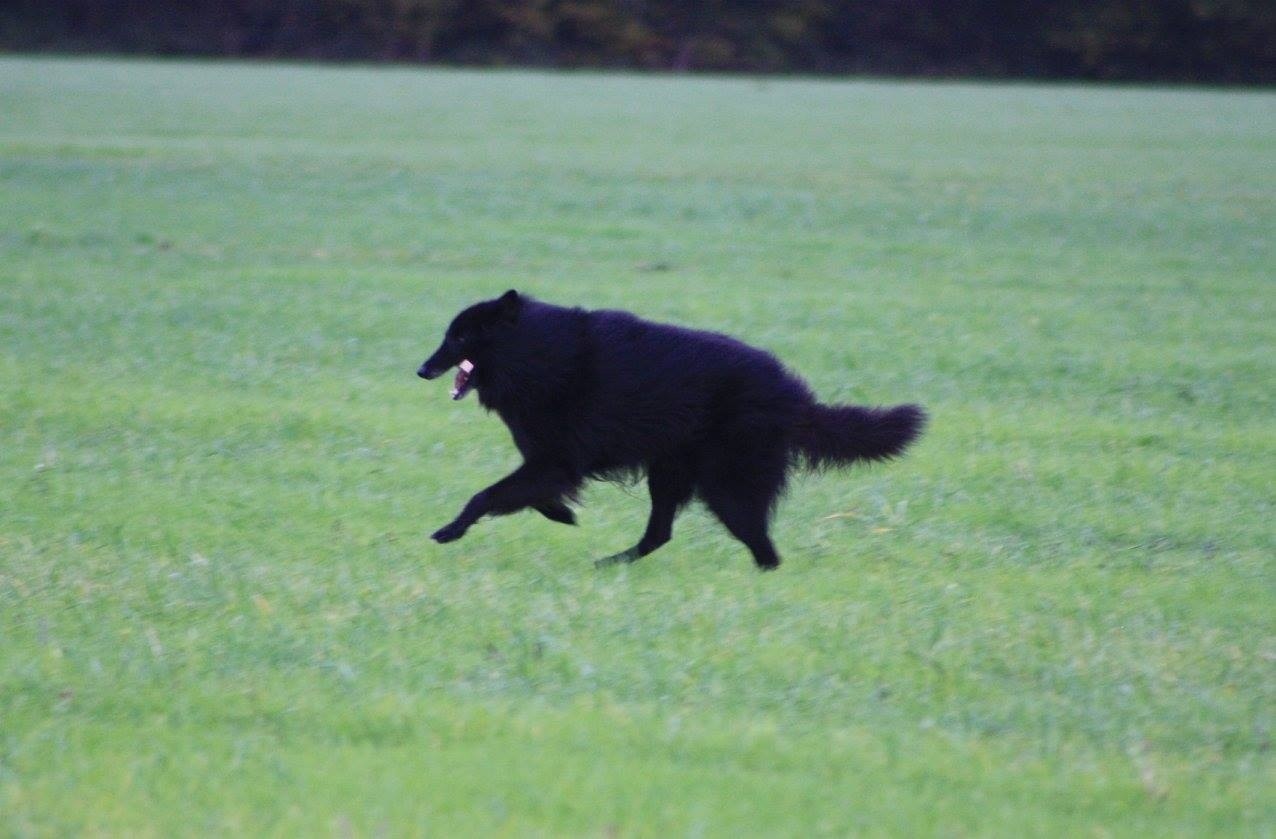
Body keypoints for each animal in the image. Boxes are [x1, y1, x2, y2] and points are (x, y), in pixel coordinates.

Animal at [418, 289, 928, 568]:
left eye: (459, 336)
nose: (422, 370)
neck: (536, 352)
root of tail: (793, 398)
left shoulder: (556, 460)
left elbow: (487, 495)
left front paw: (450, 530)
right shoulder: (551, 463)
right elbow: (528, 495)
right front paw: (564, 514)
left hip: (725, 486)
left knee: (762, 547)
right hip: (670, 473)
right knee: (659, 535)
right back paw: (611, 564)